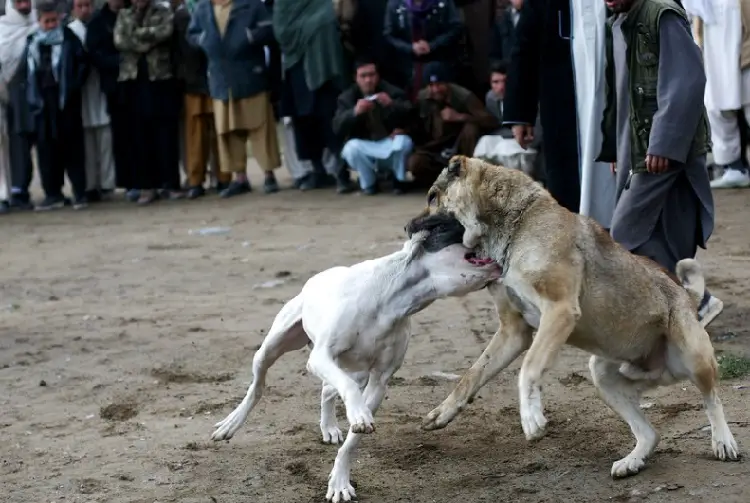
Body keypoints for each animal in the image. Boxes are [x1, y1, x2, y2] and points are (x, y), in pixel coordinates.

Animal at [212, 213, 502, 503]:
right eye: (458, 224)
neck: (394, 300)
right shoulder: (322, 357)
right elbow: (349, 393)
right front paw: (359, 416)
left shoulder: (379, 381)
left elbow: (353, 441)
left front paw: (340, 479)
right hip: (272, 348)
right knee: (258, 386)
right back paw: (231, 423)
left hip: (356, 371)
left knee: (327, 390)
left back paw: (329, 427)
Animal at [418, 156, 740, 478]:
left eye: (432, 197)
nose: (410, 227)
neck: (519, 223)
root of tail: (686, 296)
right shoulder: (513, 331)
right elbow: (473, 374)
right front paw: (443, 412)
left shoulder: (559, 309)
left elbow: (529, 367)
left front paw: (531, 416)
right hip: (603, 376)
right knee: (650, 433)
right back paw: (632, 460)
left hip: (694, 358)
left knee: (712, 399)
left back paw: (723, 441)